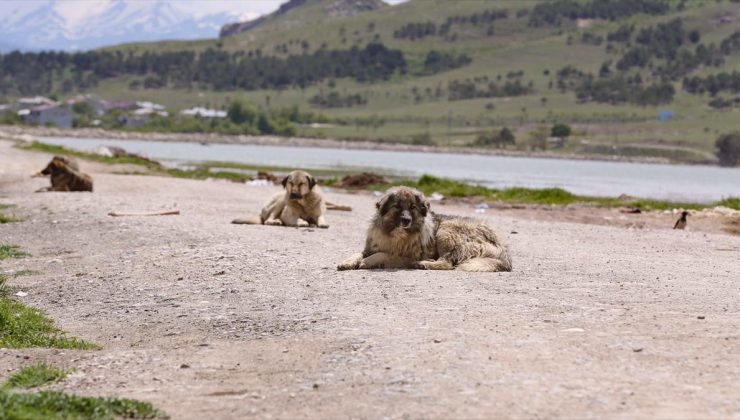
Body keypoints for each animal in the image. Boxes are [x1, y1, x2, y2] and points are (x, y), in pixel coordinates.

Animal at [338, 187, 512, 272]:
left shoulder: (405, 256)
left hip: (446, 231)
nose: (406, 220)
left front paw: (366, 262)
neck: (396, 235)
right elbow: (357, 253)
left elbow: (382, 254)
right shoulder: (370, 247)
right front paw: (347, 262)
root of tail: (502, 247)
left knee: (447, 263)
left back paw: (423, 264)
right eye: (397, 206)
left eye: (412, 207)